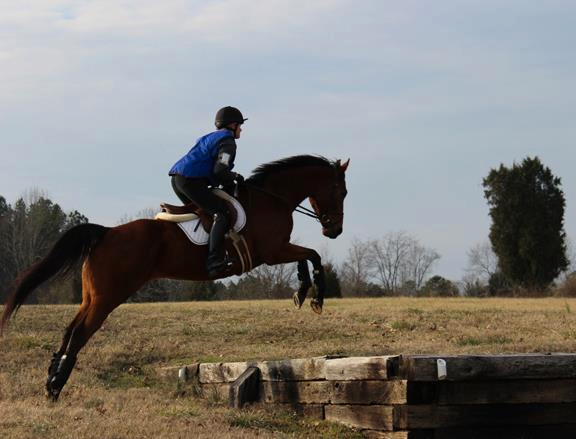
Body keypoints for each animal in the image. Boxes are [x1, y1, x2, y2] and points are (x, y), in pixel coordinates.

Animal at [0, 155, 348, 402]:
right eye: (339, 190)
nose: (335, 231)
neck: (272, 197)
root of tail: (107, 232)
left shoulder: (277, 252)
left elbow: (306, 257)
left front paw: (302, 293)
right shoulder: (273, 251)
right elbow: (313, 255)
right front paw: (314, 296)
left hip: (92, 296)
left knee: (70, 328)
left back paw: (51, 381)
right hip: (108, 297)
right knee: (80, 332)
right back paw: (56, 386)